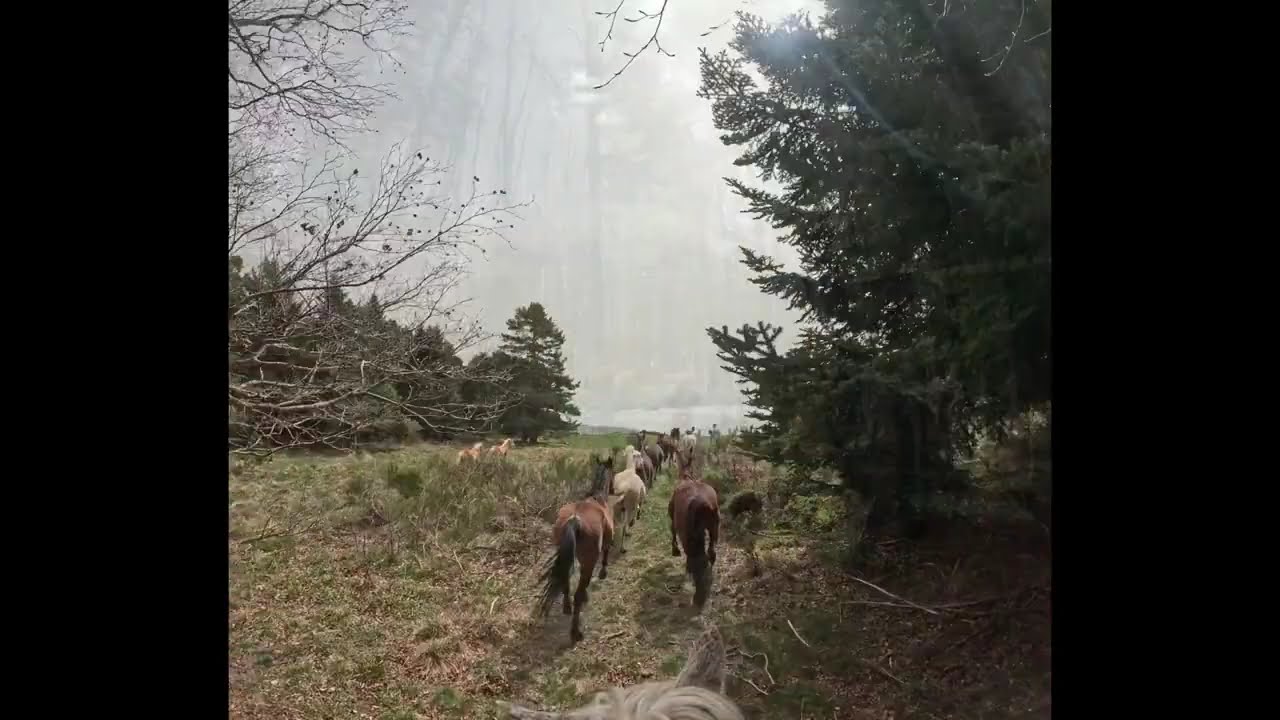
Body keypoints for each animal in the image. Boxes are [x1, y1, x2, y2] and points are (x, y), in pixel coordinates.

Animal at [535, 456, 616, 644]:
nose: (614, 489)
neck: (597, 498)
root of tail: (574, 520)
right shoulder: (606, 542)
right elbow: (606, 553)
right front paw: (603, 572)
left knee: (565, 580)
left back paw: (567, 607)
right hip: (588, 561)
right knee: (577, 593)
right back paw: (575, 632)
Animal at [669, 448, 721, 609]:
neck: (686, 477)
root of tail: (704, 505)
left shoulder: (672, 517)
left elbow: (671, 531)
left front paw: (675, 551)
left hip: (689, 532)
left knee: (696, 556)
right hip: (714, 525)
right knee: (711, 552)